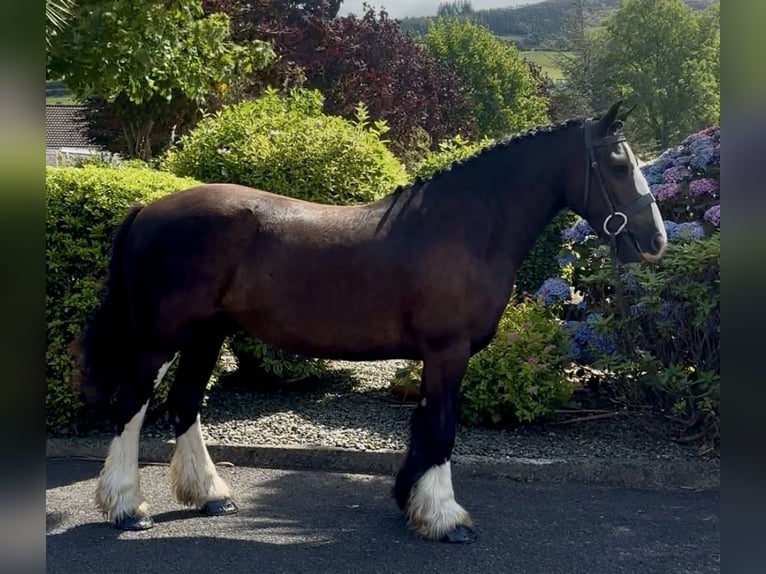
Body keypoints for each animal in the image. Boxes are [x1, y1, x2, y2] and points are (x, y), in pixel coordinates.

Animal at [77, 101, 666, 544]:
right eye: (618, 164)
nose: (655, 240)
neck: (462, 226)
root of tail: (148, 209)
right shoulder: (447, 350)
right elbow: (442, 427)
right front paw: (445, 518)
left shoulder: (436, 356)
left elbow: (424, 425)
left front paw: (411, 501)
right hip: (161, 339)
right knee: (131, 406)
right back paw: (127, 508)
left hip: (207, 333)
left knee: (185, 404)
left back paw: (211, 497)